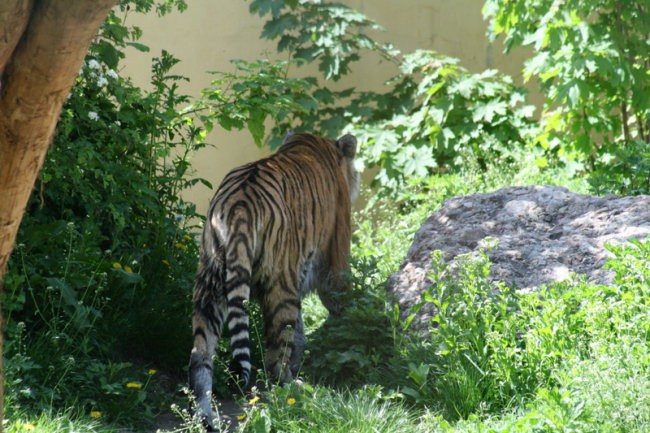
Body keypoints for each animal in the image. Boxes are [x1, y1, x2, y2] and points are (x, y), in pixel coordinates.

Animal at [187, 131, 360, 426]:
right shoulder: (335, 259)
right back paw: (296, 391)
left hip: (209, 283)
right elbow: (339, 301)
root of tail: (239, 206)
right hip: (281, 284)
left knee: (200, 356)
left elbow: (300, 333)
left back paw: (206, 418)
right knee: (275, 359)